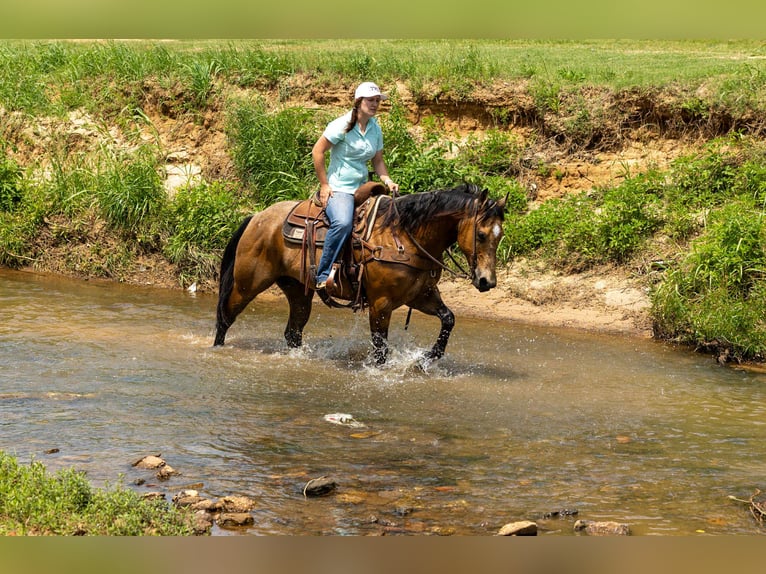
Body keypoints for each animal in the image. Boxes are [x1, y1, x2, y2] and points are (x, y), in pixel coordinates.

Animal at [214, 183, 507, 364]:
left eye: (500, 235)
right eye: (481, 235)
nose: (486, 281)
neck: (403, 237)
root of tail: (256, 217)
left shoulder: (421, 296)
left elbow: (448, 319)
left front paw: (425, 359)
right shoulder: (381, 304)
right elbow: (380, 349)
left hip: (297, 290)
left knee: (293, 333)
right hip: (247, 284)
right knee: (226, 317)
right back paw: (217, 350)